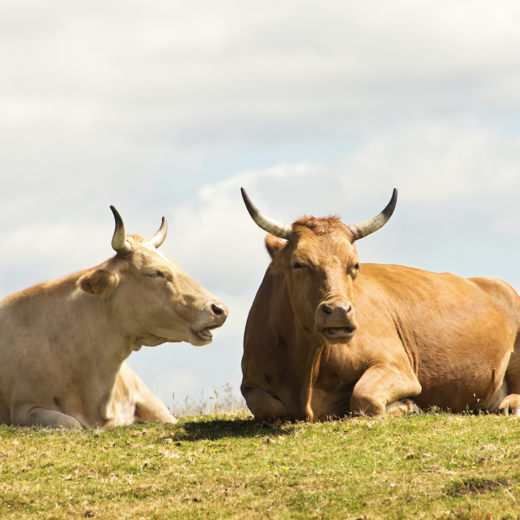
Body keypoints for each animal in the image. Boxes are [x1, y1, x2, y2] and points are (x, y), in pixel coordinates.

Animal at [240, 189, 520, 420]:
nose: (338, 311)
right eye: (298, 264)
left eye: (355, 264)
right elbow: (270, 407)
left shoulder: (398, 366)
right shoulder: (250, 384)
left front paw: (408, 406)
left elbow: (363, 397)